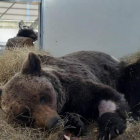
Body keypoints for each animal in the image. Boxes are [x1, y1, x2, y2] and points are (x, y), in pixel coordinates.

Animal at [0, 51, 140, 140]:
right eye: (25, 114)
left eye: (42, 97)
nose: (52, 122)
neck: (65, 101)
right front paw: (75, 122)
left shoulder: (78, 86)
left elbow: (106, 97)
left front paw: (109, 129)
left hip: (122, 73)